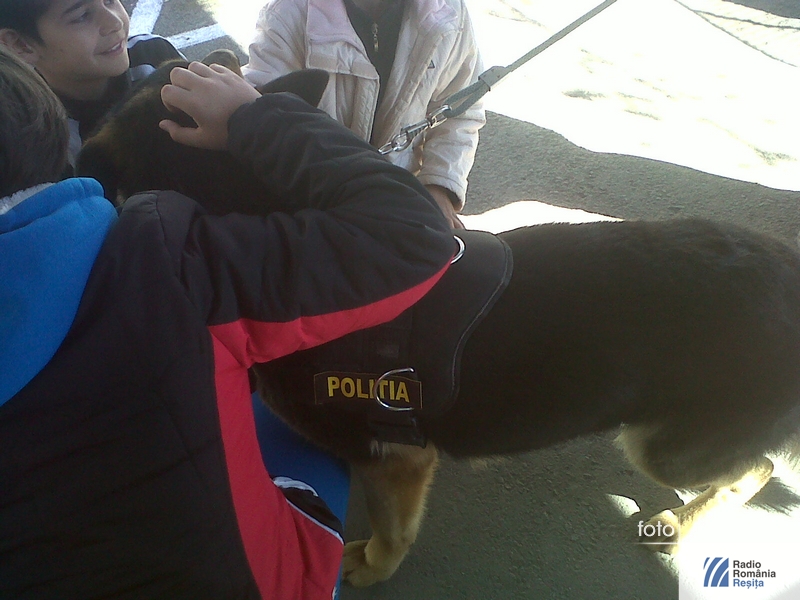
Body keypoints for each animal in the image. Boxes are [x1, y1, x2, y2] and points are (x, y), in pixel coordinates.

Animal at [77, 52, 800, 588]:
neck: (259, 209)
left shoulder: (399, 459)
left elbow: (392, 530)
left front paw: (372, 566)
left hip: (661, 448)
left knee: (758, 469)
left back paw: (682, 525)